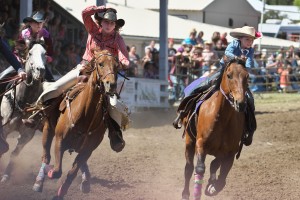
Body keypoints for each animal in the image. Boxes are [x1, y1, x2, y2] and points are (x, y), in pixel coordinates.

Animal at [0, 41, 46, 182]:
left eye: (45, 53)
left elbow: (14, 154)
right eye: (30, 53)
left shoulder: (27, 135)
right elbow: (4, 147)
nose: (41, 70)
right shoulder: (4, 128)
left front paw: (6, 175)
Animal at [31, 49, 118, 198]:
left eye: (117, 66)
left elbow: (71, 173)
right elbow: (57, 171)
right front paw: (49, 172)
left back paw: (86, 182)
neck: (84, 115)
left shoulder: (87, 150)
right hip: (48, 129)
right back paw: (39, 181)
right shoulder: (60, 140)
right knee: (46, 155)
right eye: (100, 64)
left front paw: (61, 193)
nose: (110, 85)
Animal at [182, 57, 250, 200]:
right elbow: (200, 168)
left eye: (247, 76)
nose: (240, 103)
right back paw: (185, 193)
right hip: (189, 140)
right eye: (229, 75)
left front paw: (212, 187)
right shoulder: (201, 144)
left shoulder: (230, 152)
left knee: (214, 164)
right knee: (189, 168)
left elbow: (222, 178)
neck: (222, 119)